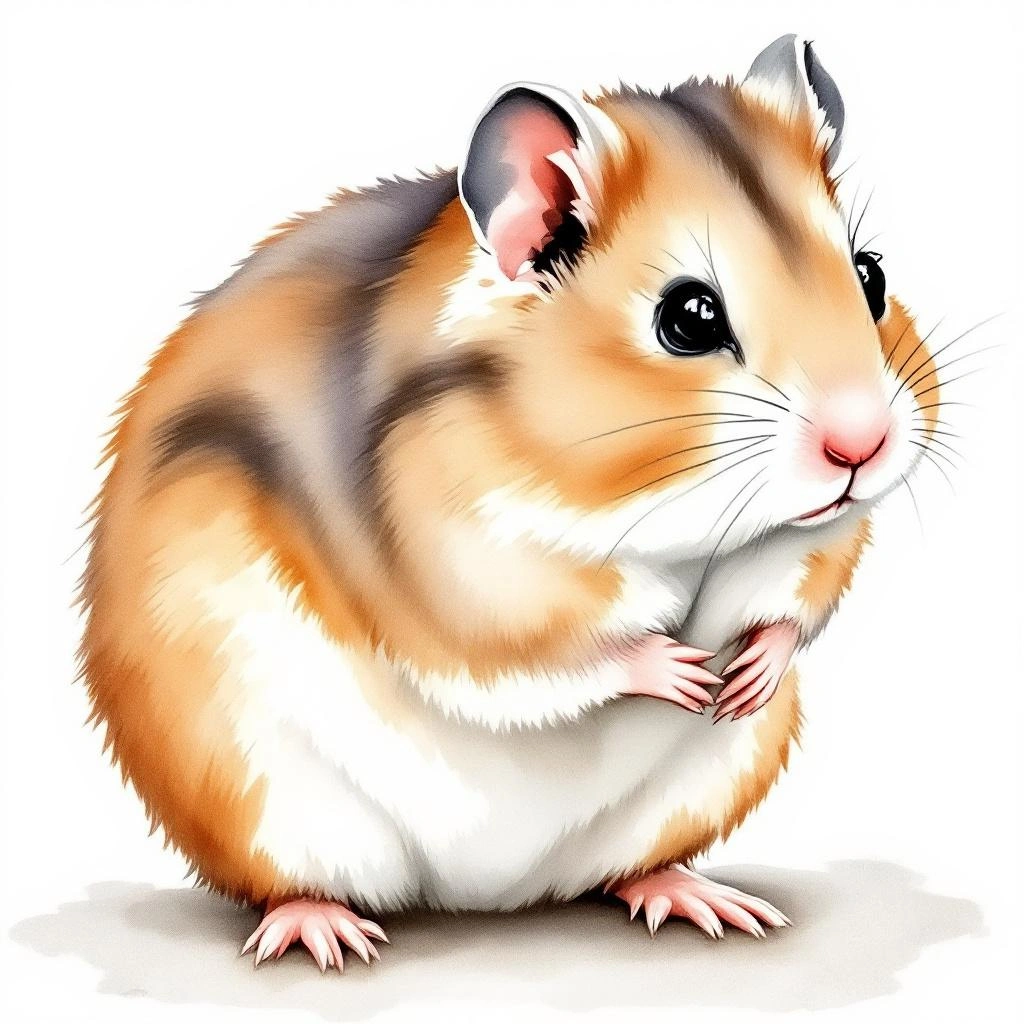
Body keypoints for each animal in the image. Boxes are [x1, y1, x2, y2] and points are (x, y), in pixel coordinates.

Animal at [79, 33, 943, 970]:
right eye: (689, 318)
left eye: (871, 275)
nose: (862, 447)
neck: (677, 521)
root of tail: (487, 897)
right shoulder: (464, 575)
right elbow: (558, 647)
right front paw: (680, 672)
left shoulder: (816, 543)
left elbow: (801, 594)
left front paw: (745, 675)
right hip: (253, 785)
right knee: (289, 881)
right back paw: (325, 935)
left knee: (628, 872)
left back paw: (708, 903)